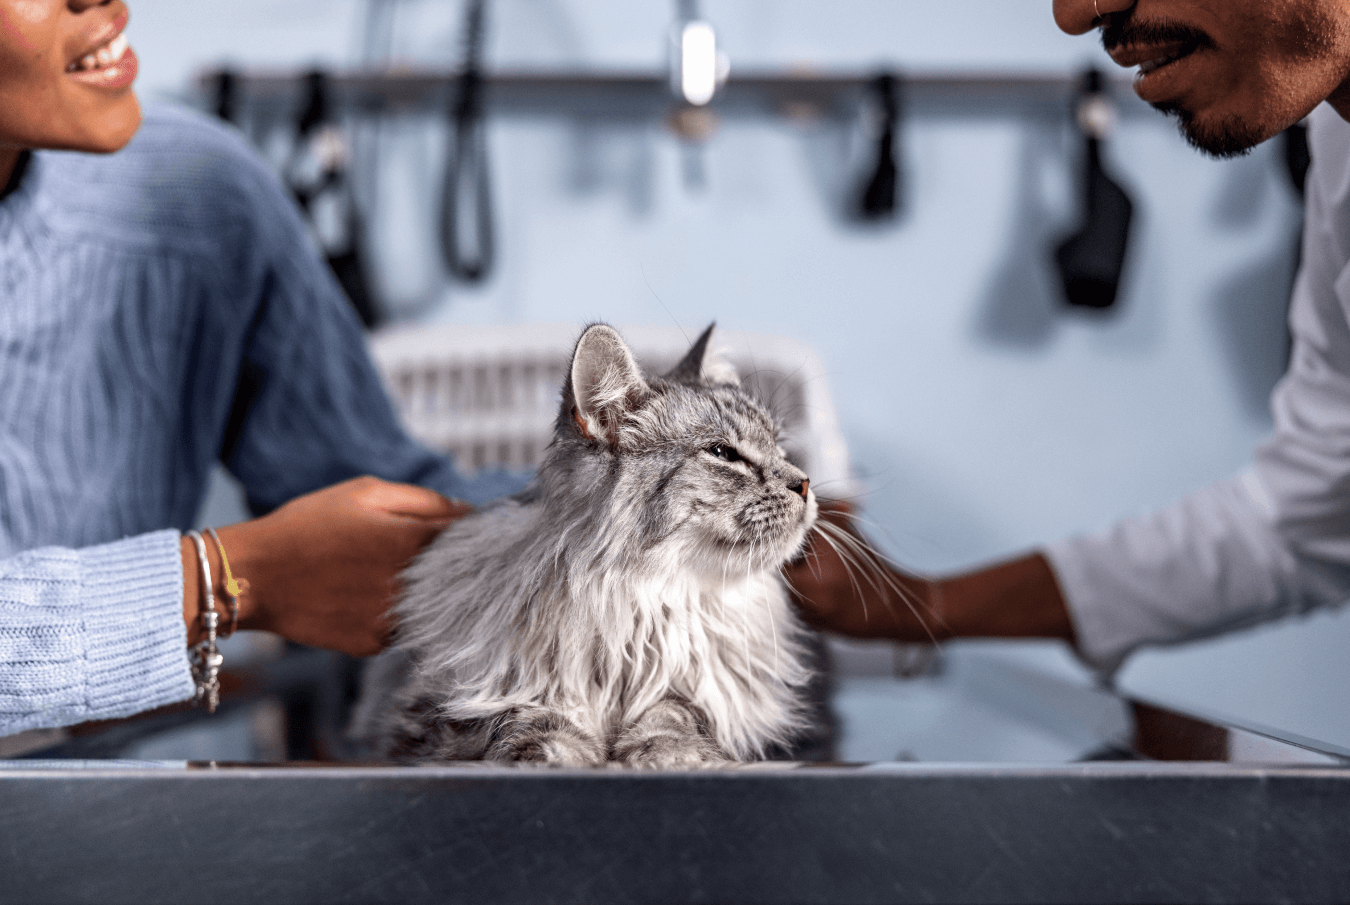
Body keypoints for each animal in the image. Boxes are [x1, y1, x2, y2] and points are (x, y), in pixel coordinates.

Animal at [359, 322, 815, 767]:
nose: (805, 484)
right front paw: (555, 752)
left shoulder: (719, 700)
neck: (637, 604)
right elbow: (522, 711)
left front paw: (669, 752)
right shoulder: (438, 707)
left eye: (780, 446)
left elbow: (675, 710)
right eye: (723, 453)